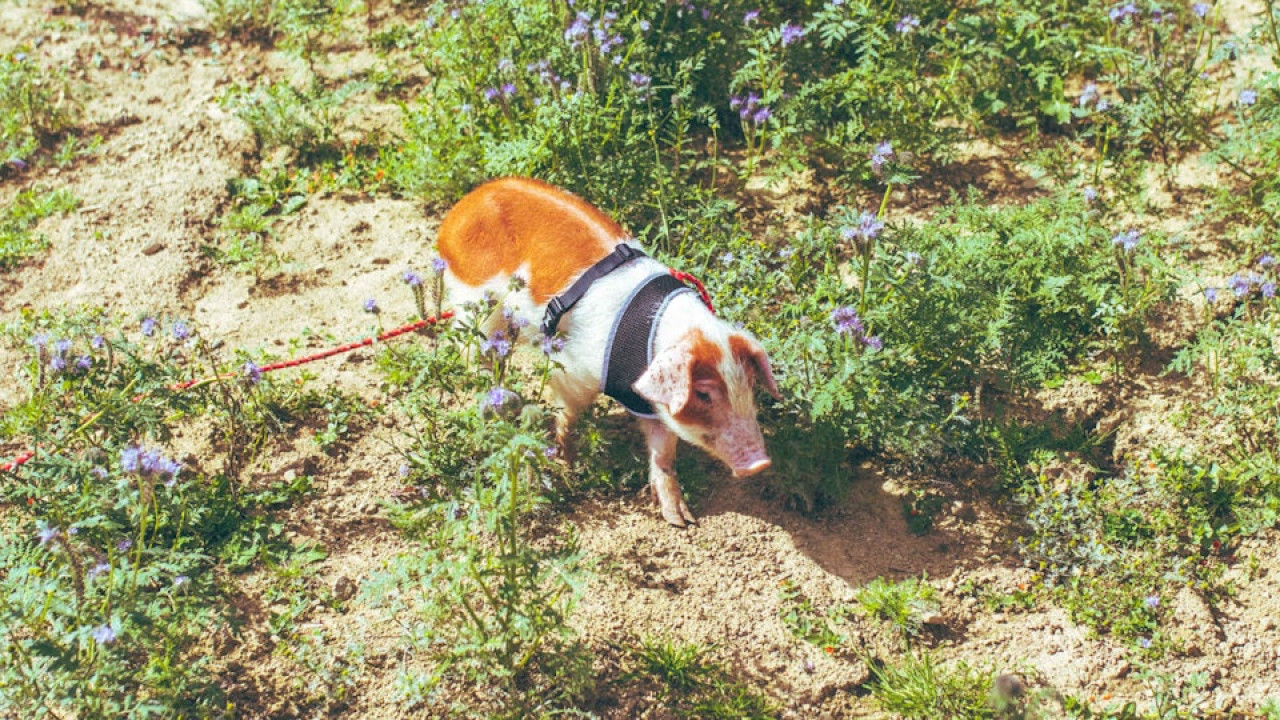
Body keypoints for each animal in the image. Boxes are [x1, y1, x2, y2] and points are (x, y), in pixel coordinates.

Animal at [435, 177, 780, 527]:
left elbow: (664, 450)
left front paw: (681, 519)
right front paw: (566, 462)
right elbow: (568, 411)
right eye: (704, 393)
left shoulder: (647, 401)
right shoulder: (573, 370)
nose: (761, 463)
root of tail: (463, 207)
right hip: (474, 302)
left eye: (749, 385)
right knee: (473, 350)